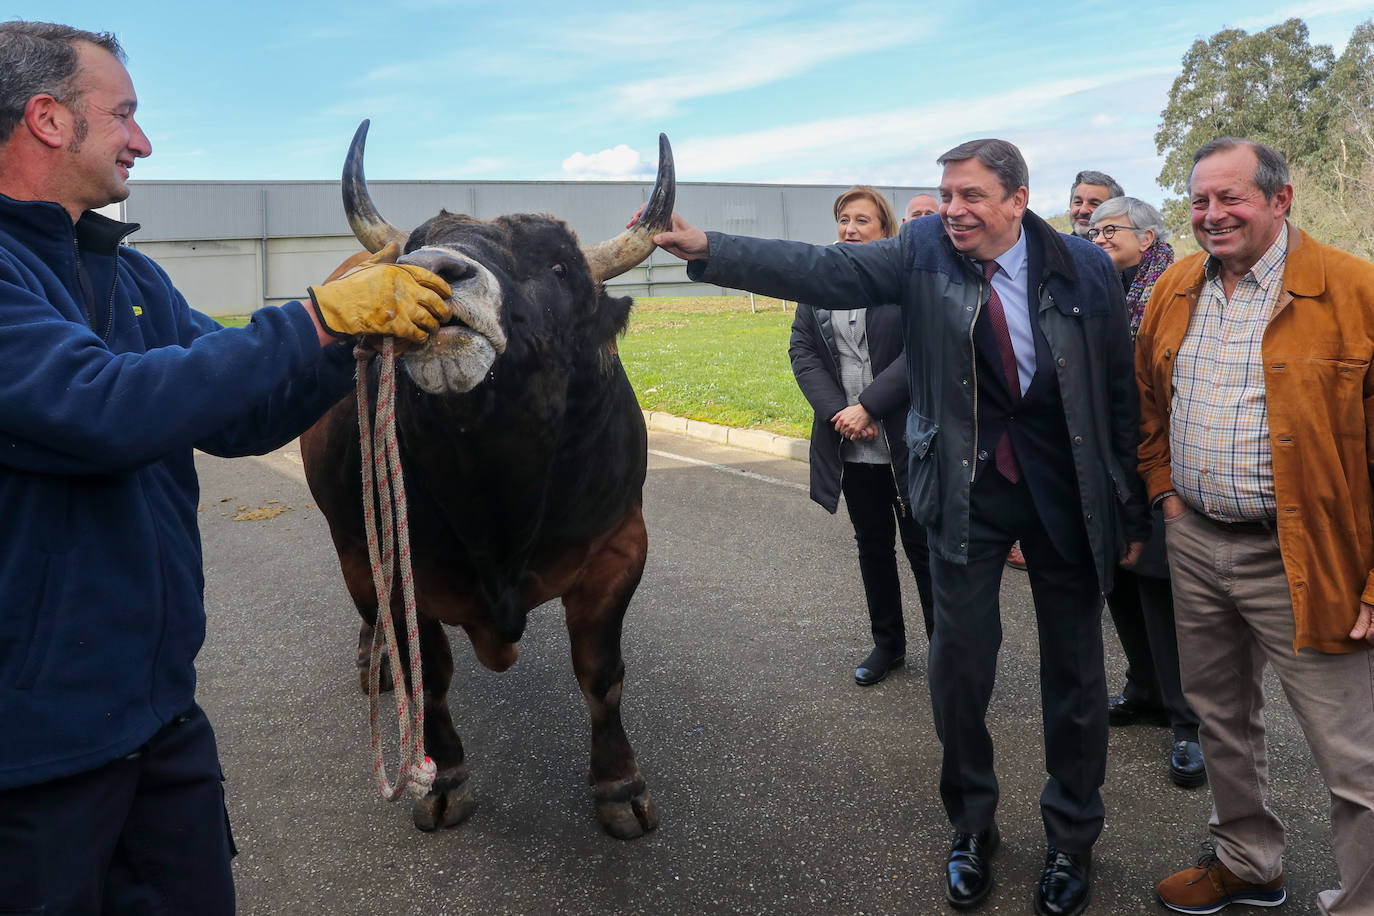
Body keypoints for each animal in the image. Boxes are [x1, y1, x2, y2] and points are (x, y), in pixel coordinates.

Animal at [299, 121, 670, 840]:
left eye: (558, 265)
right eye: (417, 242)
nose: (435, 269)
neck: (497, 500)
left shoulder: (619, 547)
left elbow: (601, 676)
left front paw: (620, 784)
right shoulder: (389, 563)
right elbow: (429, 676)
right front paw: (444, 779)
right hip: (349, 539)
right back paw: (372, 663)